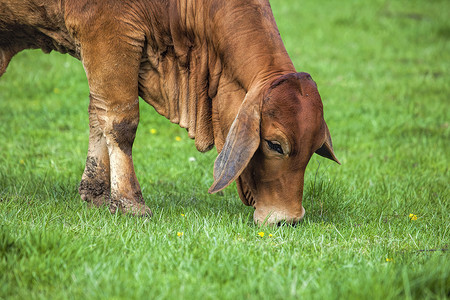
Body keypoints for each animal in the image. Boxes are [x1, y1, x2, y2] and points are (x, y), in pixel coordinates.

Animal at [0, 0, 340, 225]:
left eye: (313, 149)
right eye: (274, 145)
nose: (289, 219)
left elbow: (97, 116)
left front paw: (97, 194)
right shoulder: (107, 32)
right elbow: (120, 122)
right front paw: (131, 203)